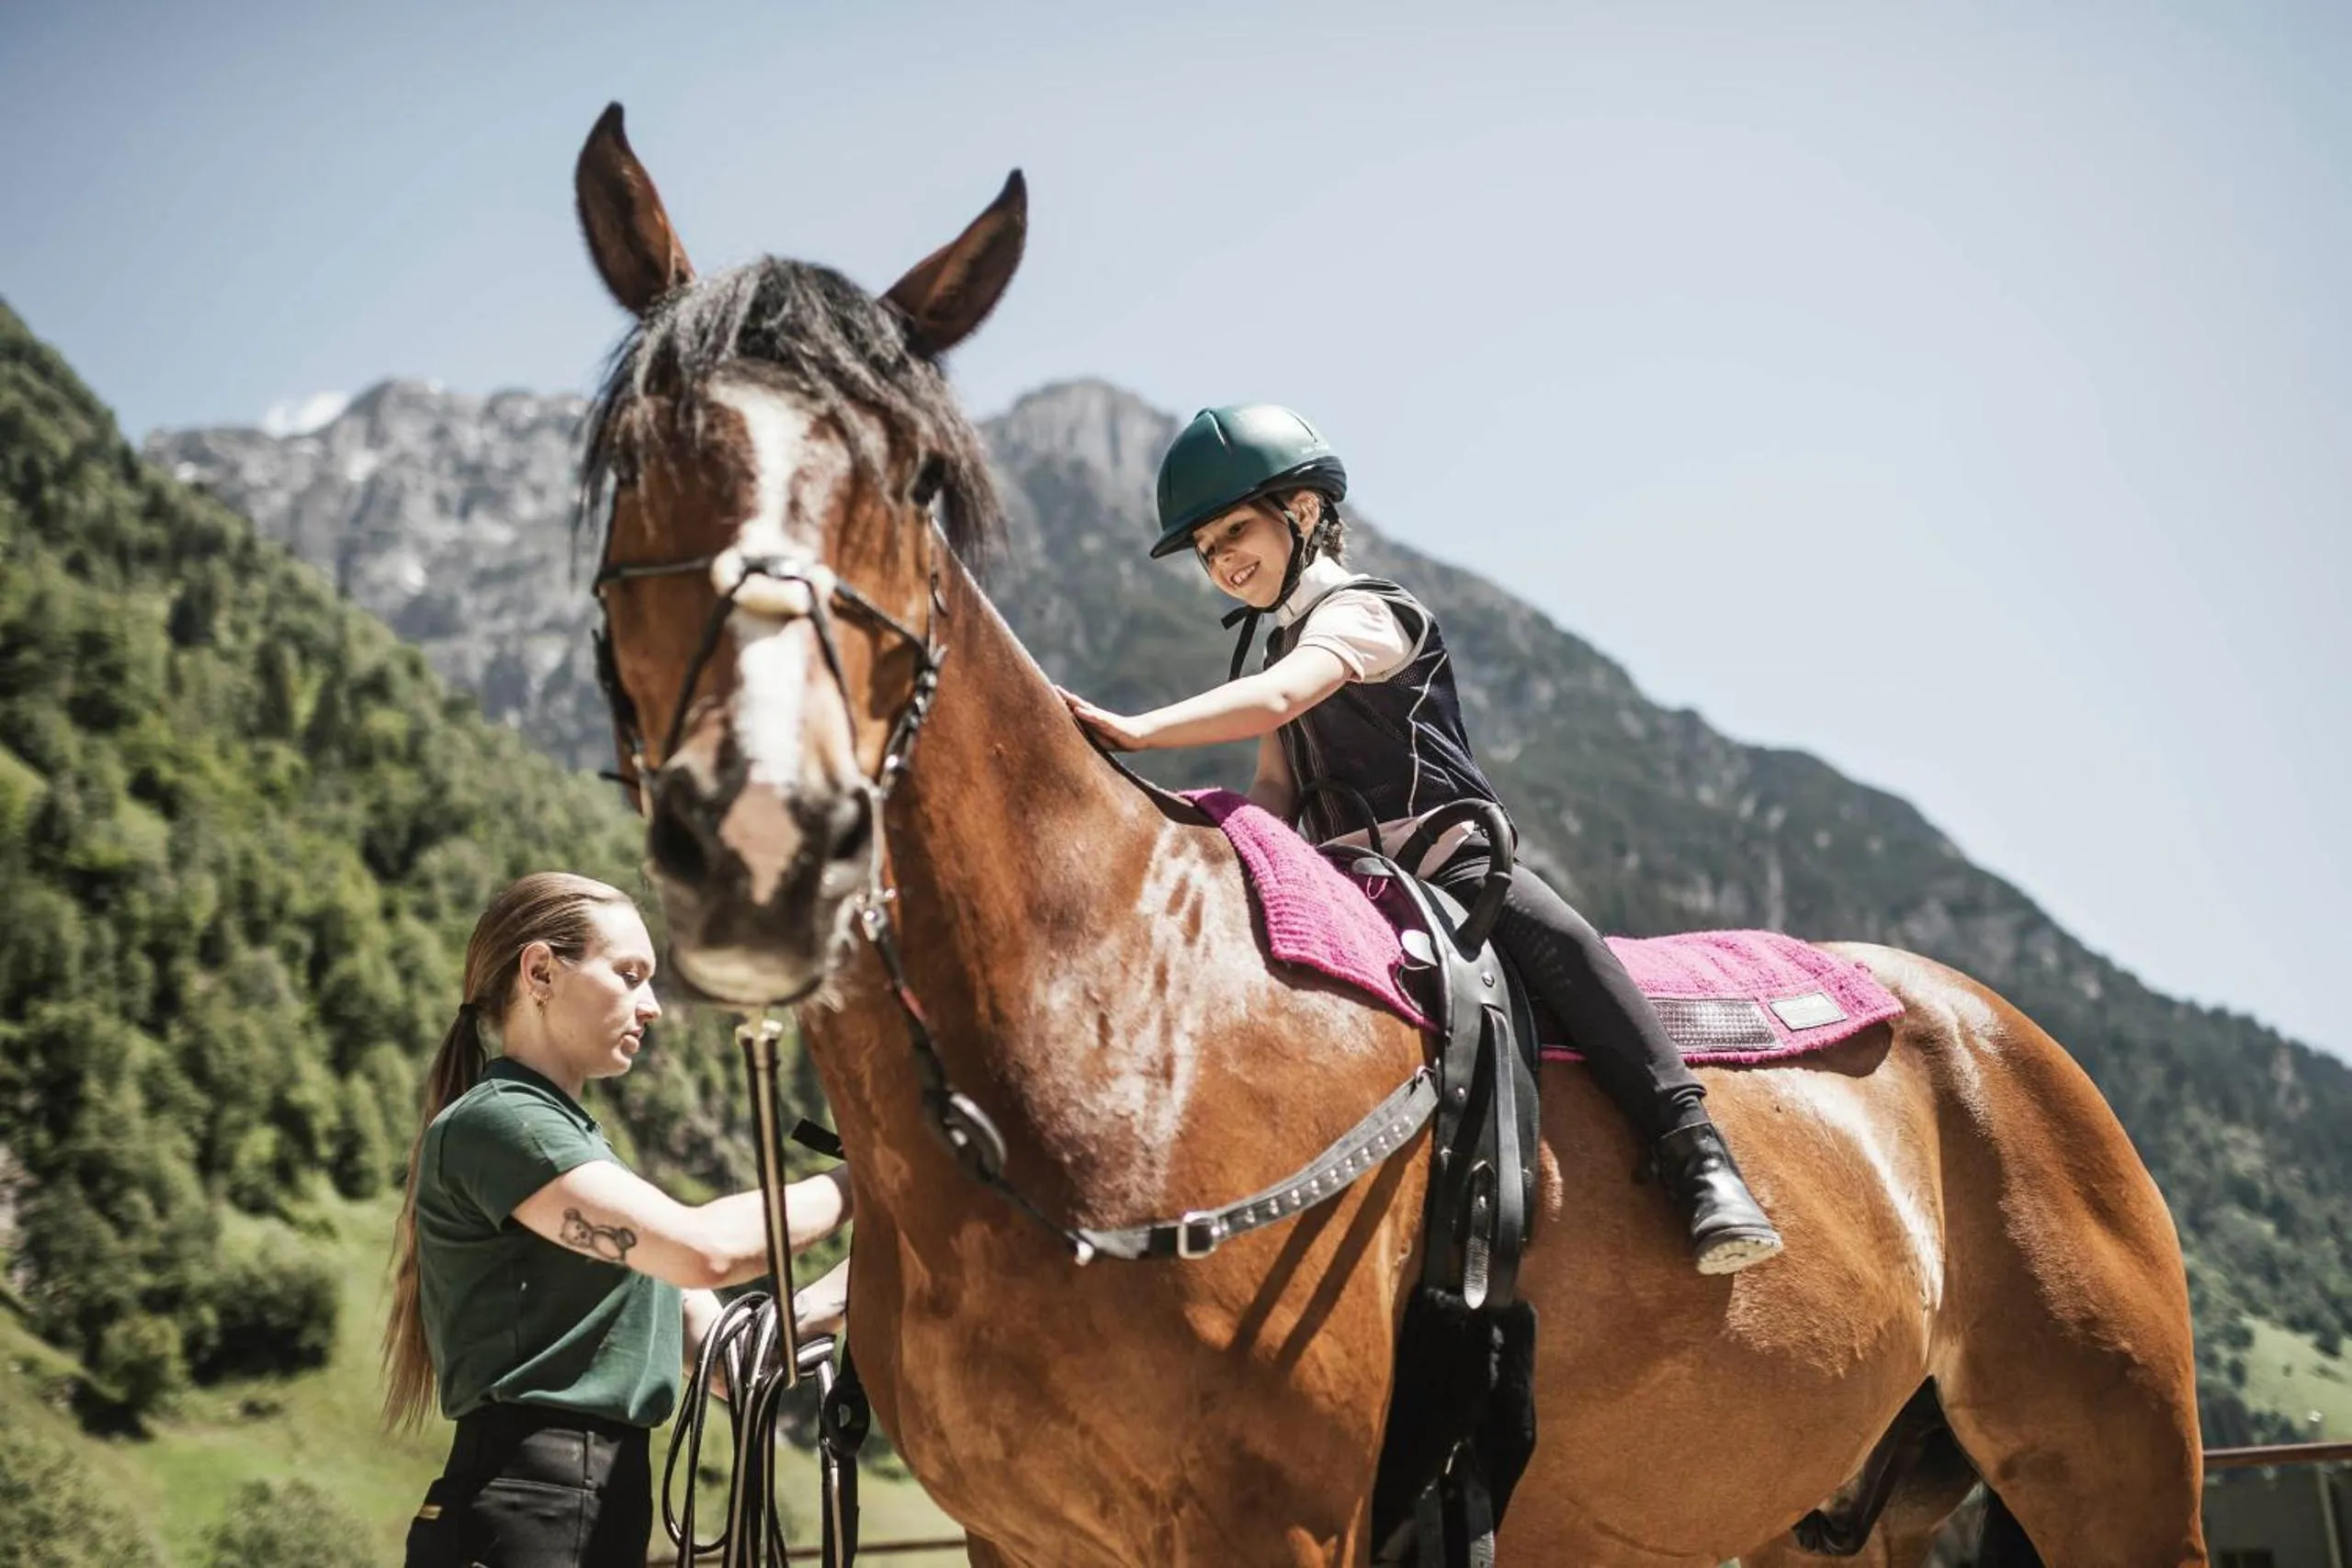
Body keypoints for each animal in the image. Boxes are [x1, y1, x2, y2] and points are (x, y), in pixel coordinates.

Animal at [568, 103, 2208, 1566]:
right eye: (632, 458)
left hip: (2121, 1478)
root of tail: (1999, 1033)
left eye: (916, 479)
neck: (1109, 1028)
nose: (766, 833)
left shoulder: (1277, 1523)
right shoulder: (1020, 1536)